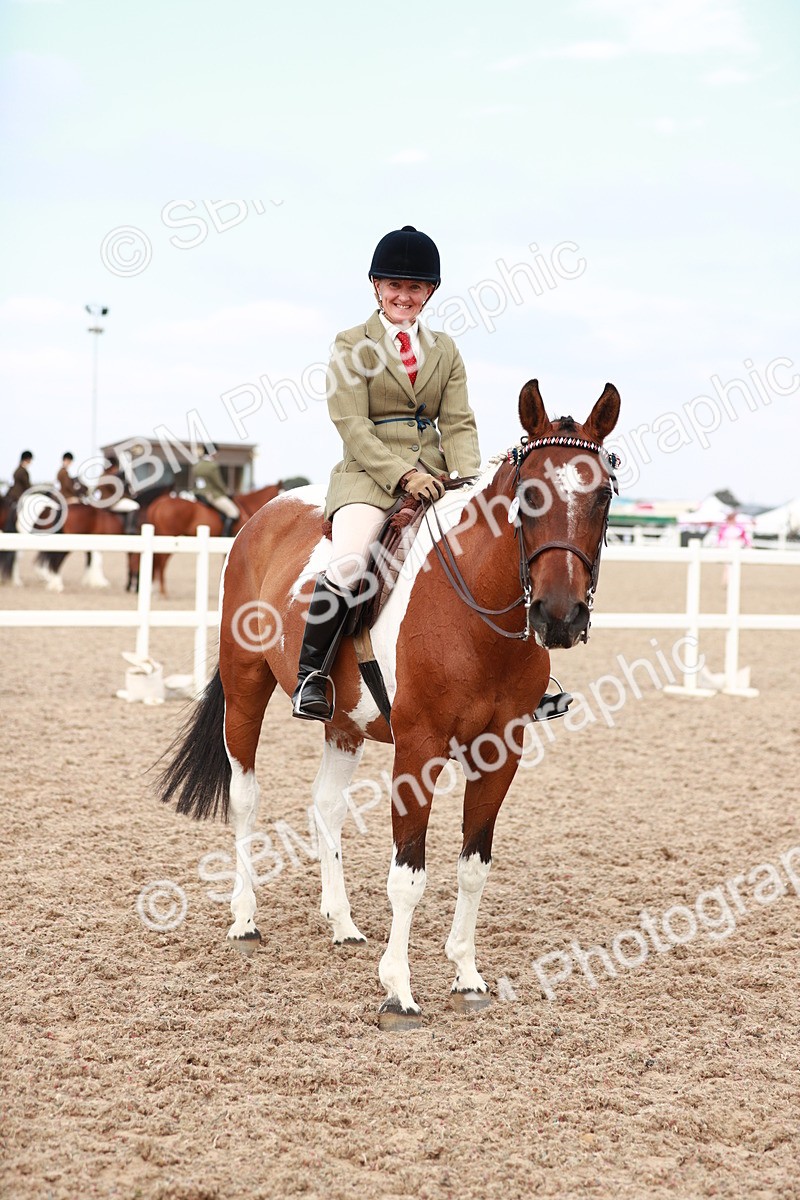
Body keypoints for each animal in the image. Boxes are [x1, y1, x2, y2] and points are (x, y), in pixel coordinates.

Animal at [158, 381, 620, 1029]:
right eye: (529, 495)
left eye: (603, 494)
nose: (559, 617)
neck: (477, 610)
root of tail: (266, 513)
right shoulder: (418, 750)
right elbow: (408, 875)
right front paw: (398, 992)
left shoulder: (501, 753)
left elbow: (473, 866)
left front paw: (467, 977)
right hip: (246, 685)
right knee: (245, 796)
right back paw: (245, 920)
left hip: (344, 723)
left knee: (325, 805)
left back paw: (343, 923)